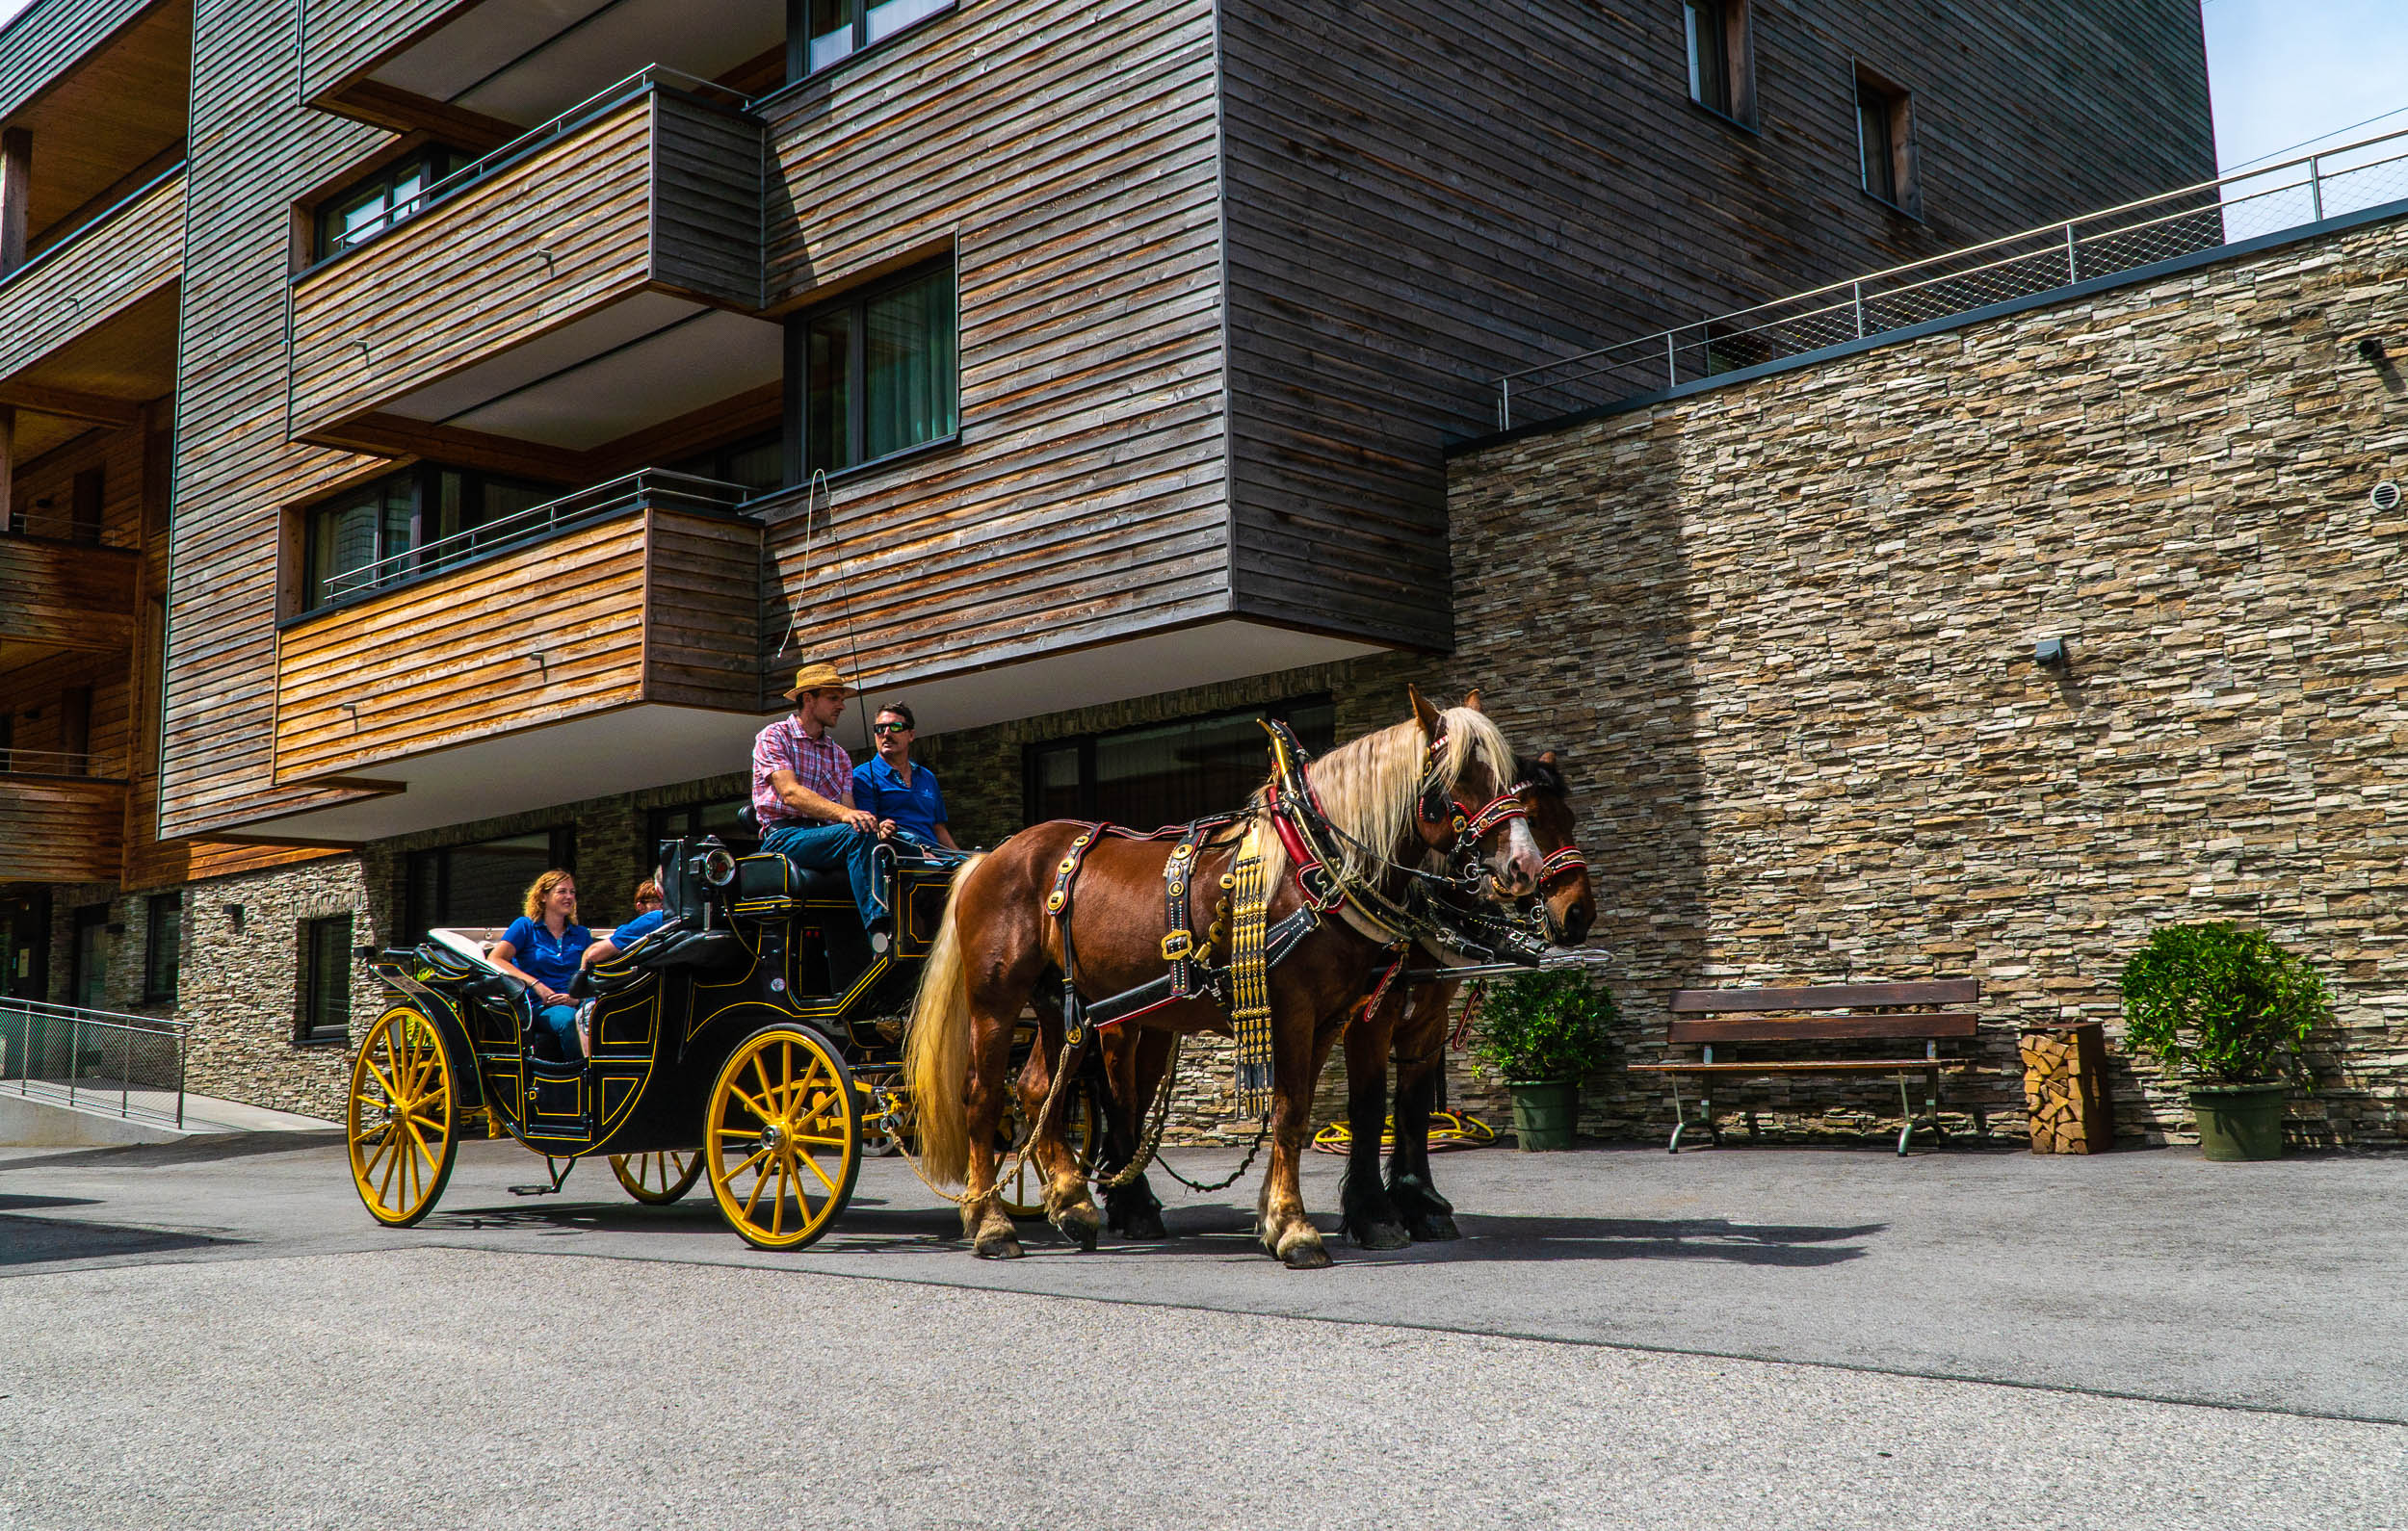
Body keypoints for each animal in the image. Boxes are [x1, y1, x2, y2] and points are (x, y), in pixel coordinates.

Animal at [905, 693, 1541, 1271]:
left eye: (1513, 778)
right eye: (1459, 778)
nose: (1524, 869)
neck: (1314, 861)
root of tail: (990, 858)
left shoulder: (1331, 1016)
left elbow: (1302, 1111)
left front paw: (1278, 1218)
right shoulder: (1294, 1007)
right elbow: (1290, 1110)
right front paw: (1296, 1229)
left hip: (1070, 1006)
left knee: (1039, 1090)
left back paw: (1072, 1205)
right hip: (998, 1001)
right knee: (985, 1096)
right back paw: (990, 1223)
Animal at [1339, 746, 1599, 1252]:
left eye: (1571, 818)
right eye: (1531, 819)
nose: (1580, 913)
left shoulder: (1430, 1019)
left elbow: (1414, 1106)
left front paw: (1421, 1203)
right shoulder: (1366, 1021)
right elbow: (1369, 1107)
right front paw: (1371, 1214)